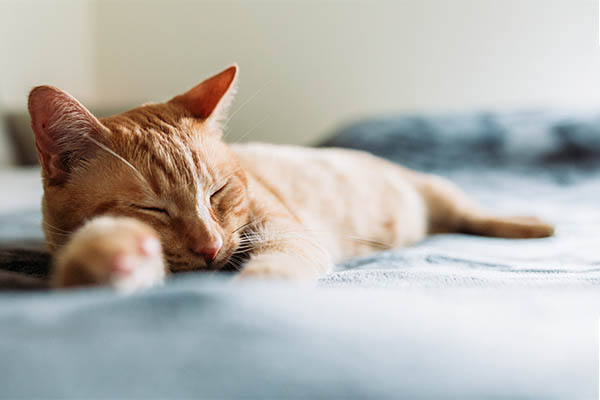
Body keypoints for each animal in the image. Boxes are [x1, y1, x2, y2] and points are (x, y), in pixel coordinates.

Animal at [27, 65, 552, 290]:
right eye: (151, 208)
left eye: (218, 192)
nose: (210, 246)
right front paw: (107, 260)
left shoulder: (289, 232)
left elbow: (278, 263)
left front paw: (260, 284)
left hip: (439, 192)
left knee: (474, 214)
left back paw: (531, 225)